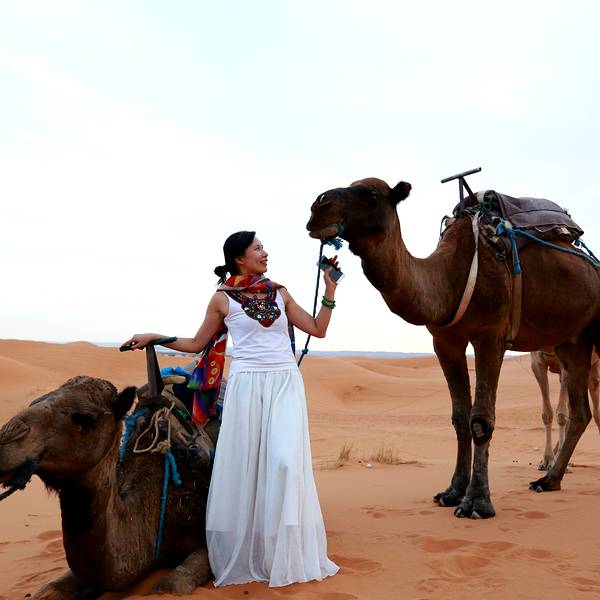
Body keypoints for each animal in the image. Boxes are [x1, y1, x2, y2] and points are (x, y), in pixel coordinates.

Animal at [307, 177, 600, 519]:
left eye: (370, 195)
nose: (318, 206)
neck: (448, 279)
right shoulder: (446, 342)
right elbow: (460, 418)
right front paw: (452, 492)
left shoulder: (491, 337)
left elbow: (481, 420)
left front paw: (478, 503)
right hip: (573, 339)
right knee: (580, 412)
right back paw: (549, 480)